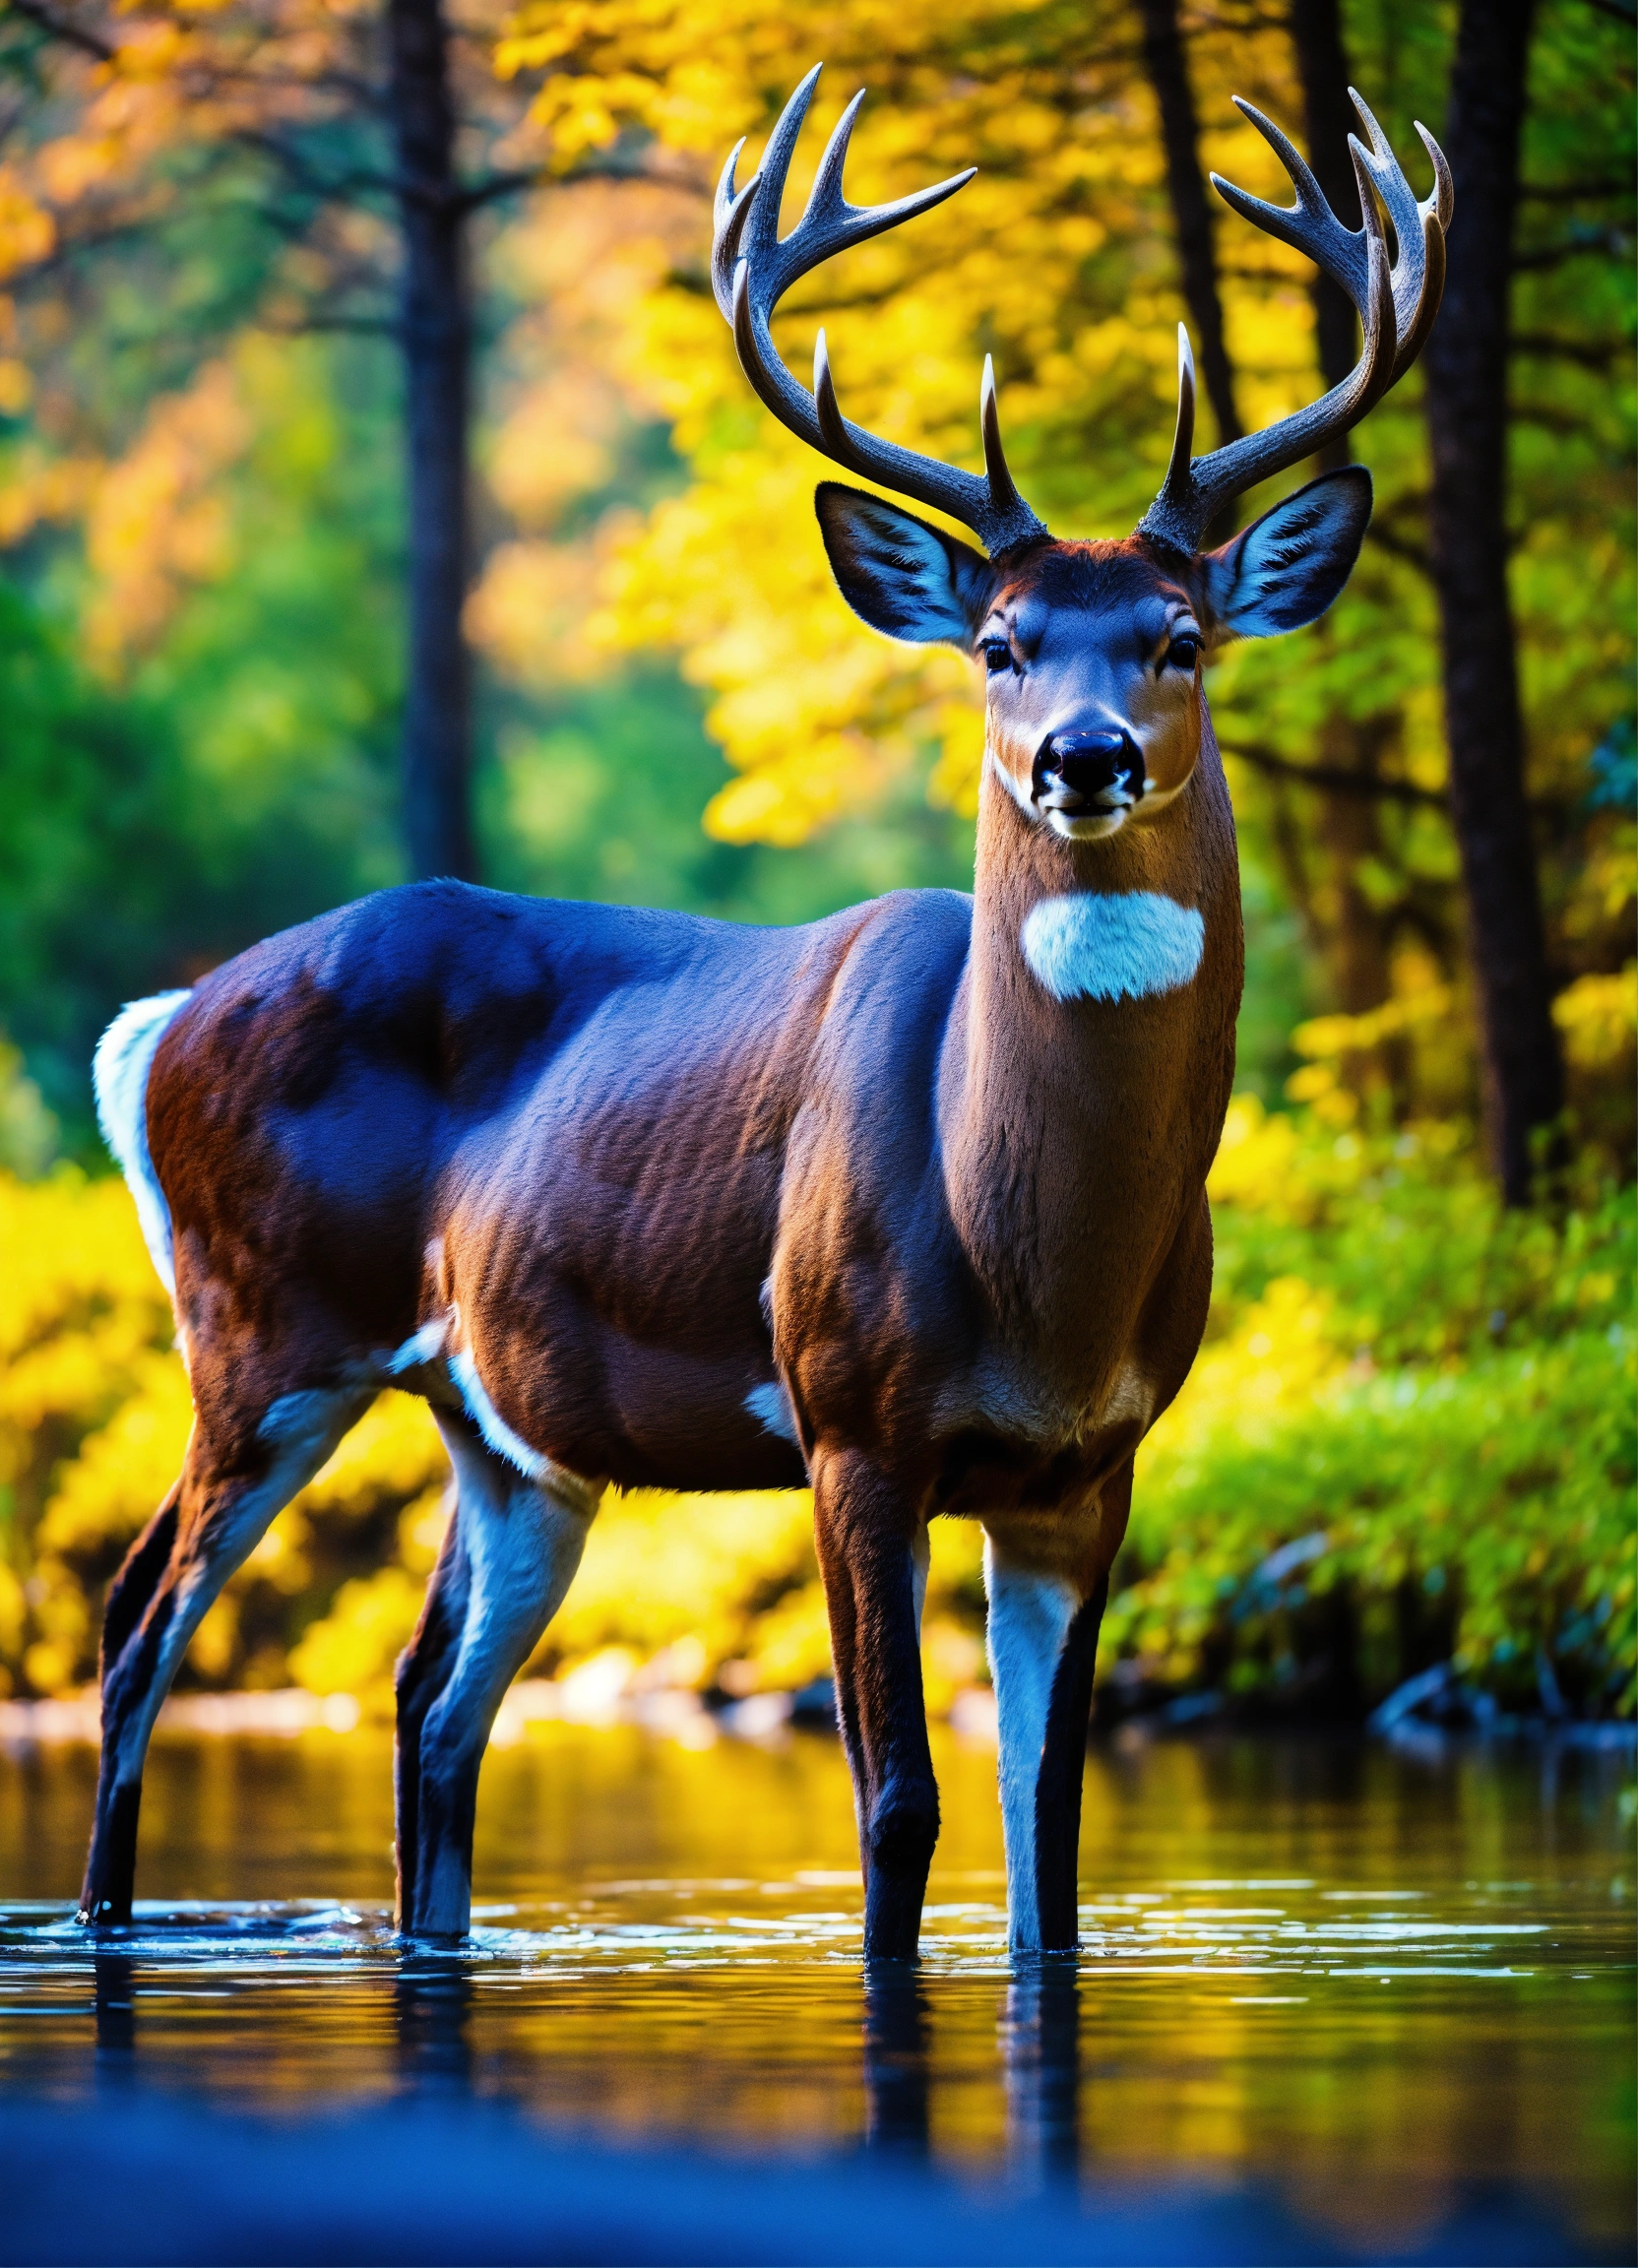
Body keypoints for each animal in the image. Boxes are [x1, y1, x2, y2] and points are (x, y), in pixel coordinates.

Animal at [78, 66, 1449, 1960]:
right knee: (140, 1623)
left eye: (1178, 635)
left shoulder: (1089, 1463)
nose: (1081, 755)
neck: (1031, 1258)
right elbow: (898, 1807)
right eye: (1000, 642)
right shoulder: (848, 1410)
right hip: (262, 1326)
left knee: (432, 1696)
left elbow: (1052, 1850)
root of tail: (157, 1028)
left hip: (503, 1428)